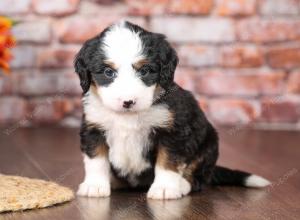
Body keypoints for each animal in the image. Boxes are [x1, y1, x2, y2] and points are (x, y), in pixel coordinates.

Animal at [74, 20, 270, 199]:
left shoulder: (172, 131)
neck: (128, 116)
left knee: (198, 176)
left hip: (209, 143)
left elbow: (168, 162)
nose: (128, 102)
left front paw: (165, 188)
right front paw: (95, 185)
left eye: (144, 71)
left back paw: (182, 184)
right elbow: (96, 160)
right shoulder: (94, 128)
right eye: (108, 72)